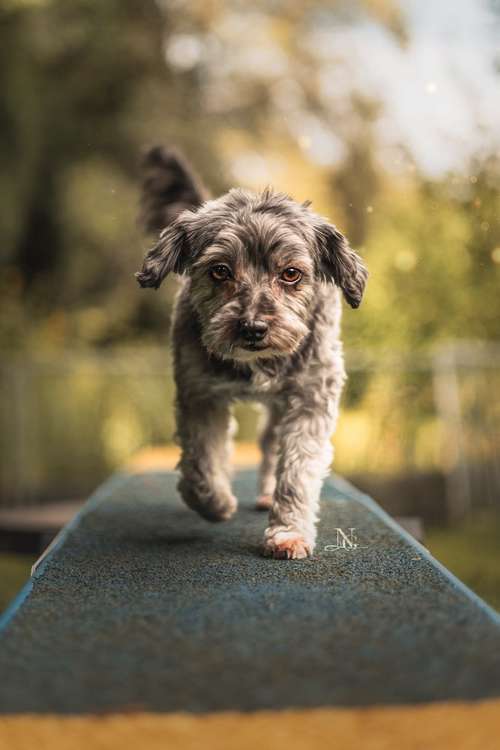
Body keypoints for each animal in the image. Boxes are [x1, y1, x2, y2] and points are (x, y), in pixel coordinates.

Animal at [137, 147, 368, 560]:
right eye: (220, 270)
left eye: (291, 273)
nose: (253, 328)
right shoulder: (199, 395)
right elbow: (199, 463)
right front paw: (215, 502)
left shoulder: (311, 398)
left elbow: (297, 471)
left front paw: (287, 532)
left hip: (283, 404)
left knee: (271, 445)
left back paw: (265, 494)